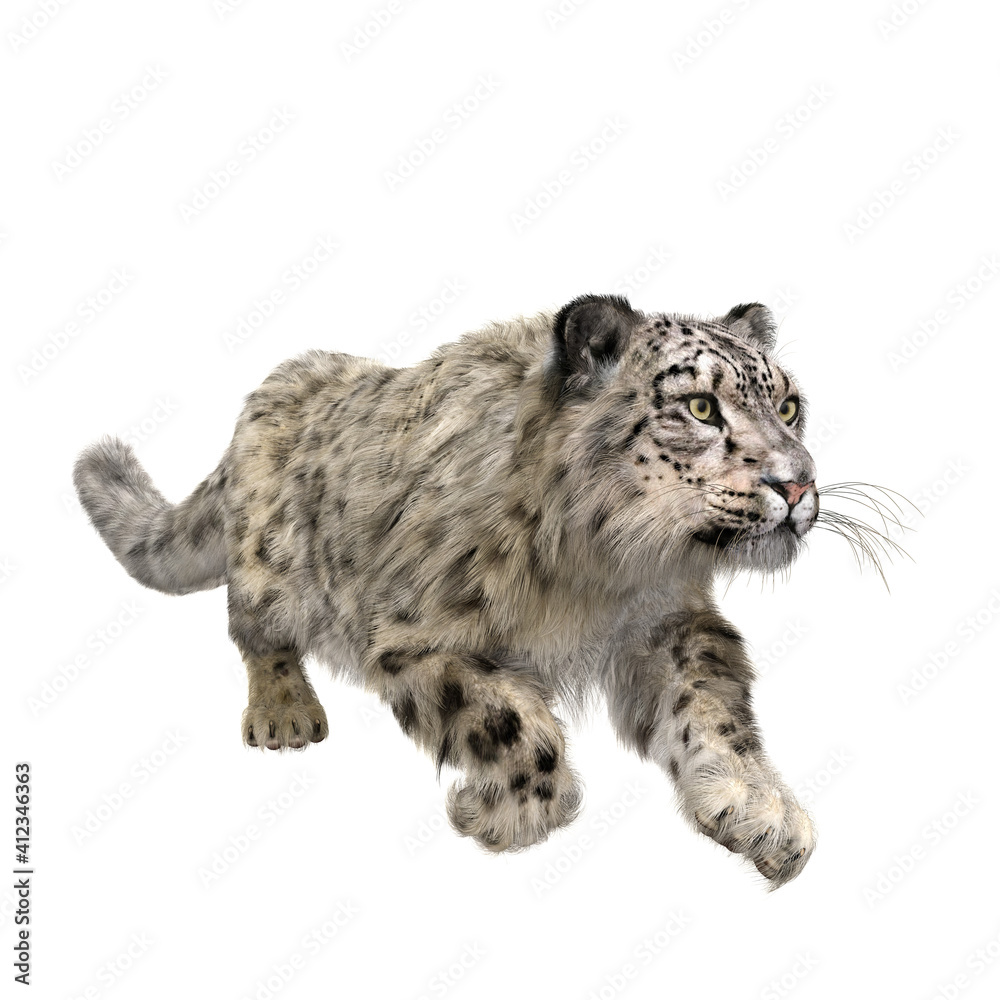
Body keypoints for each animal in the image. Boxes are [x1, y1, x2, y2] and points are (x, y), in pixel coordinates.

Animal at [74, 293, 830, 888]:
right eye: (701, 407)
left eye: (790, 405)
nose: (797, 483)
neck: (603, 571)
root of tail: (265, 394)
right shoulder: (417, 636)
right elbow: (520, 728)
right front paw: (498, 817)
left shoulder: (671, 621)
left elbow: (713, 708)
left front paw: (765, 813)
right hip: (268, 562)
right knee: (252, 625)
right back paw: (285, 713)